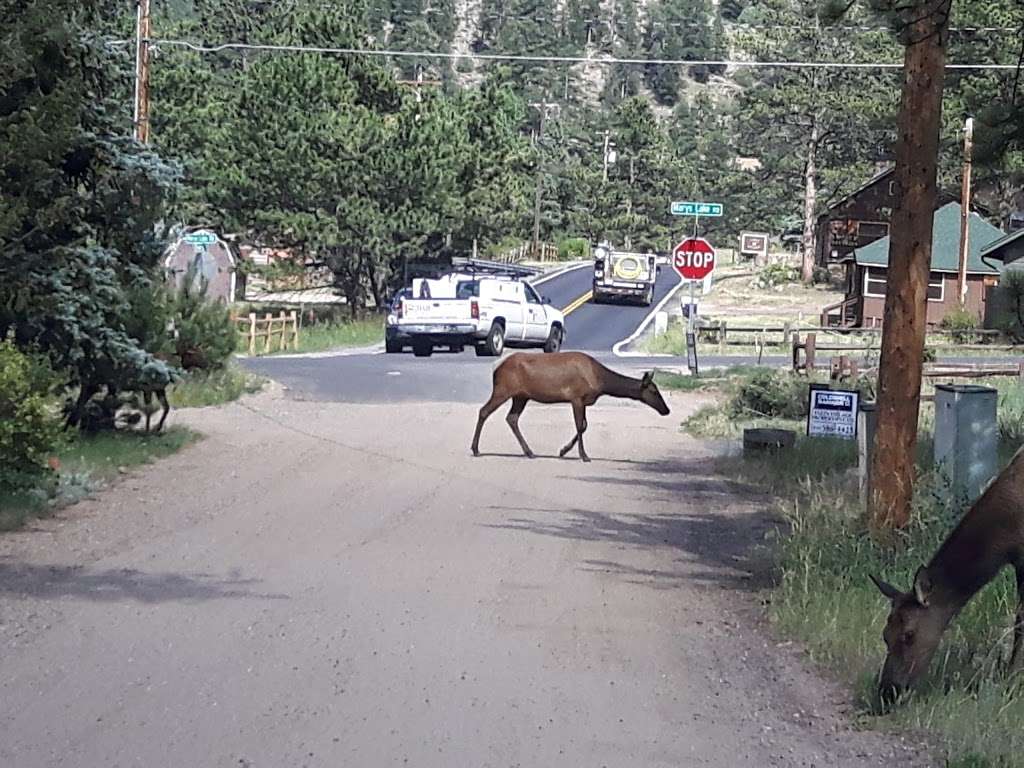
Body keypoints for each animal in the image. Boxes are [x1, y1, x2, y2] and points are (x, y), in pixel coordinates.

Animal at [471, 354, 671, 462]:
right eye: (654, 391)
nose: (666, 410)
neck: (600, 380)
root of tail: (496, 370)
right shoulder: (576, 397)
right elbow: (580, 426)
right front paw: (583, 455)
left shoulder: (584, 400)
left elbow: (584, 425)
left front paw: (563, 450)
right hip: (503, 389)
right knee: (484, 411)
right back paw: (475, 449)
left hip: (520, 396)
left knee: (511, 418)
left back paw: (529, 452)